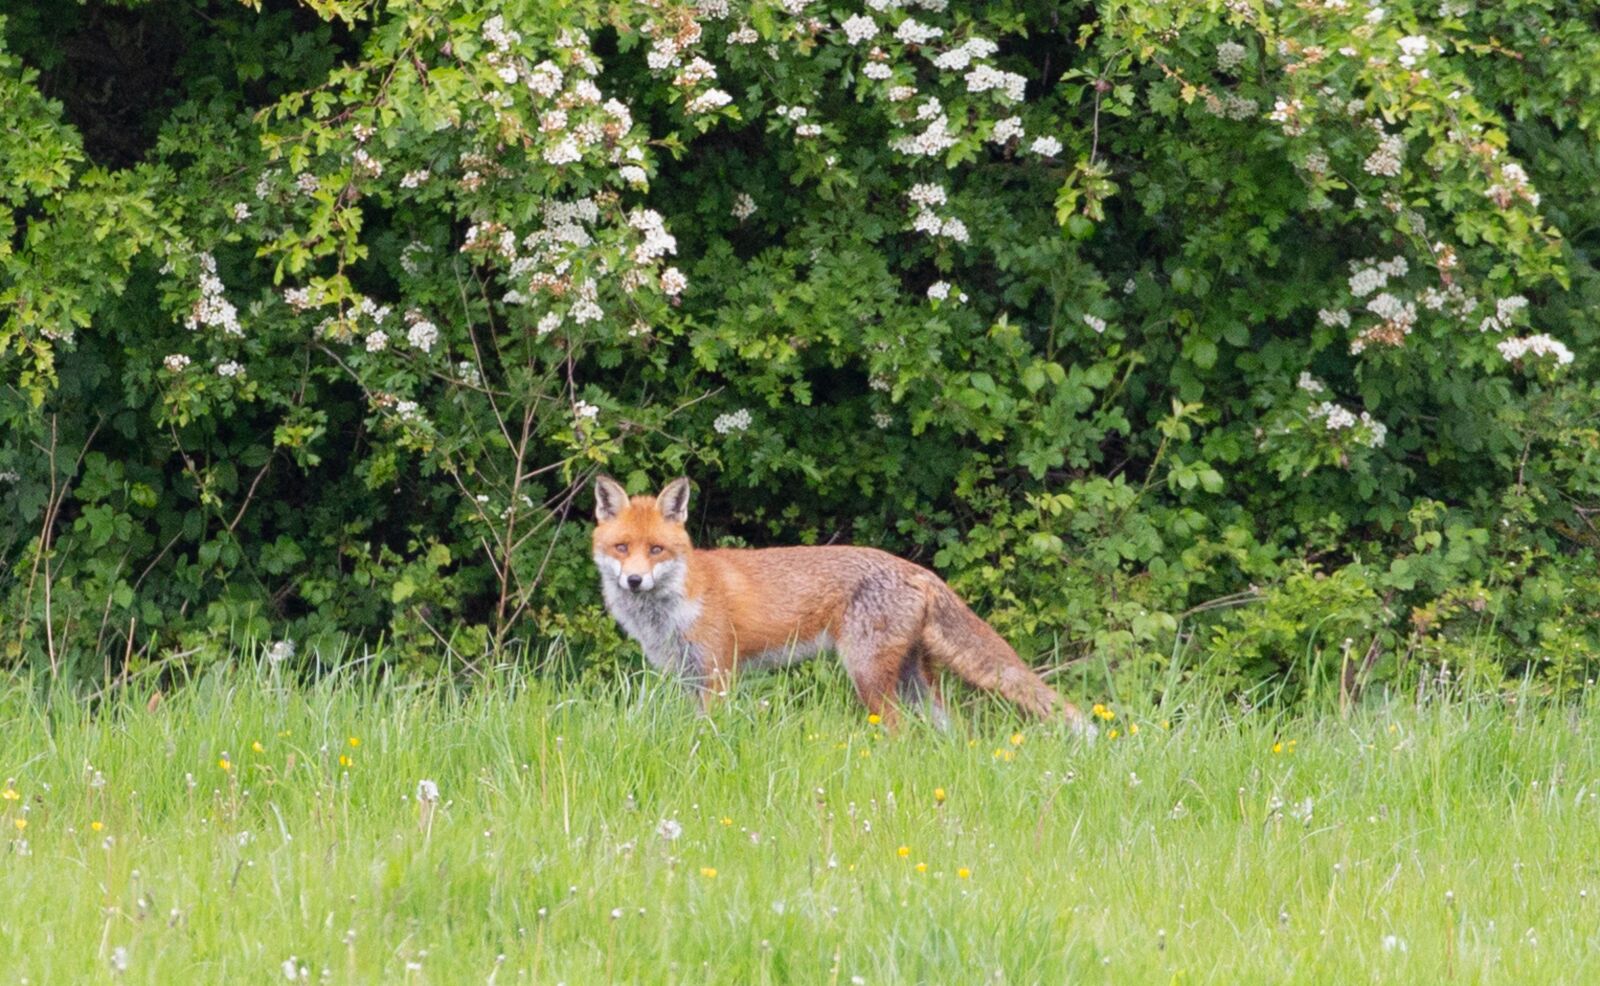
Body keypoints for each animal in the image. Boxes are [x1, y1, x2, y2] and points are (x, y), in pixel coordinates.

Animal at [591, 475, 1088, 732]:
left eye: (656, 550)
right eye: (622, 548)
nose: (634, 580)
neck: (673, 607)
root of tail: (919, 570)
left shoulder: (717, 674)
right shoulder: (685, 678)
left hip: (868, 675)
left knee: (899, 731)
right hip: (914, 682)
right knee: (952, 731)